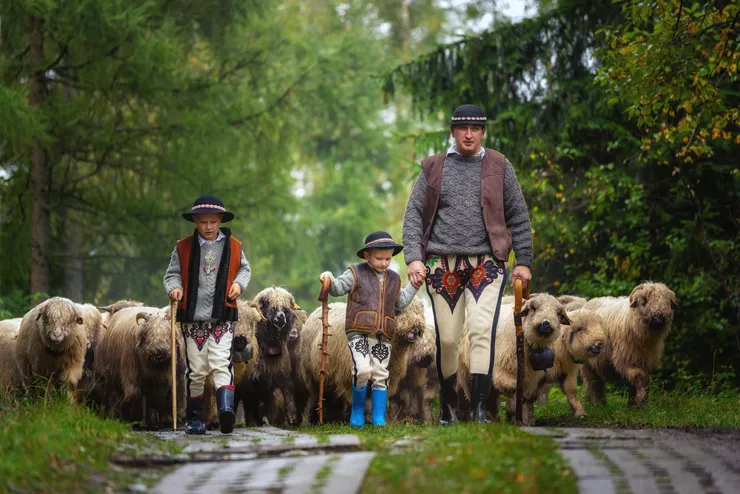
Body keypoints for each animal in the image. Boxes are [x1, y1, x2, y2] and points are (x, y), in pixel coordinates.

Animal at [240, 288, 304, 426]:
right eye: (272, 307)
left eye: (285, 308)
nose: (281, 317)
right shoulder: (251, 380)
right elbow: (250, 401)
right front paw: (253, 422)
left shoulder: (280, 372)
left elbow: (287, 391)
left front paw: (291, 418)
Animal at [456, 294, 572, 424]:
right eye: (533, 308)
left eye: (558, 313)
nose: (546, 323)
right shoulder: (503, 371)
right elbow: (512, 389)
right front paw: (514, 415)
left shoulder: (529, 378)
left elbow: (524, 398)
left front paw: (522, 418)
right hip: (466, 370)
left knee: (490, 397)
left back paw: (493, 418)